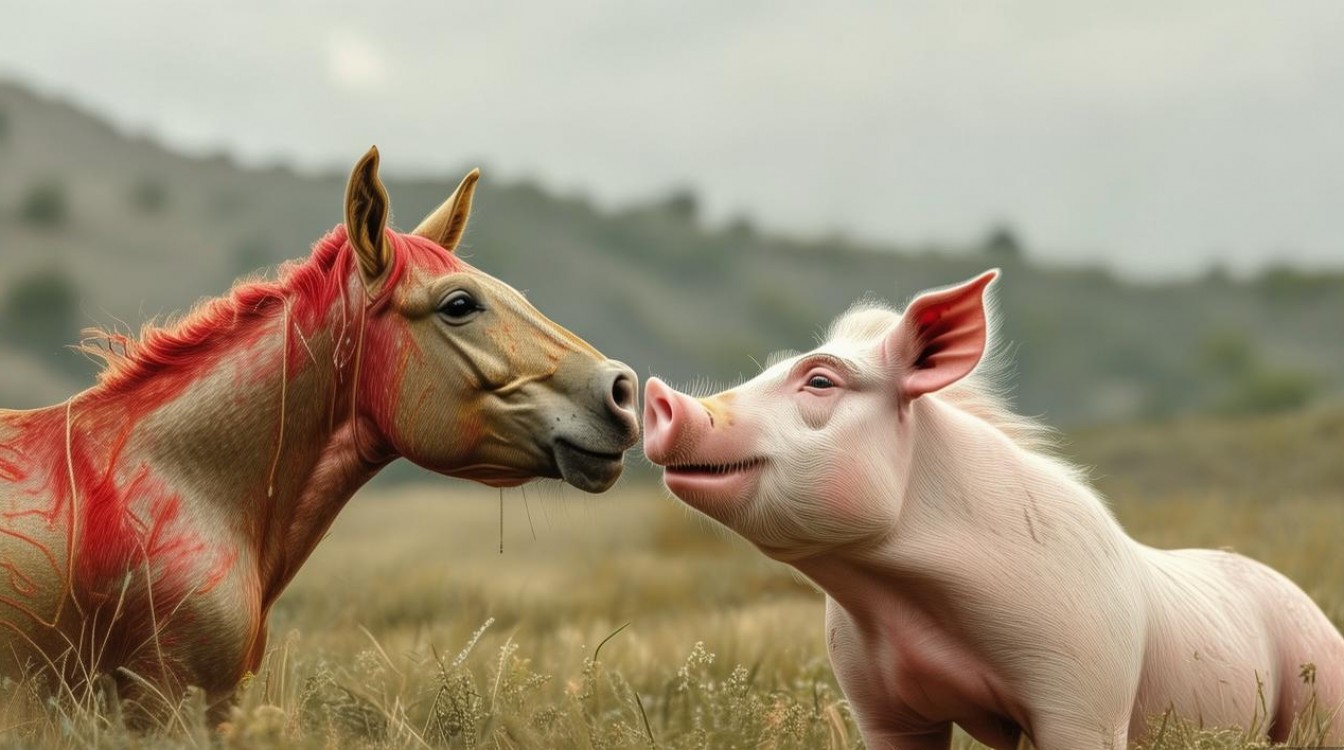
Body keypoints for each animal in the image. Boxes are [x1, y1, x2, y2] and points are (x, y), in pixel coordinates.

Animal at [642, 270, 1343, 749]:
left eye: (819, 380)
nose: (656, 393)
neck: (906, 603)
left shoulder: (1088, 694)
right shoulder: (877, 701)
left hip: (1322, 694)